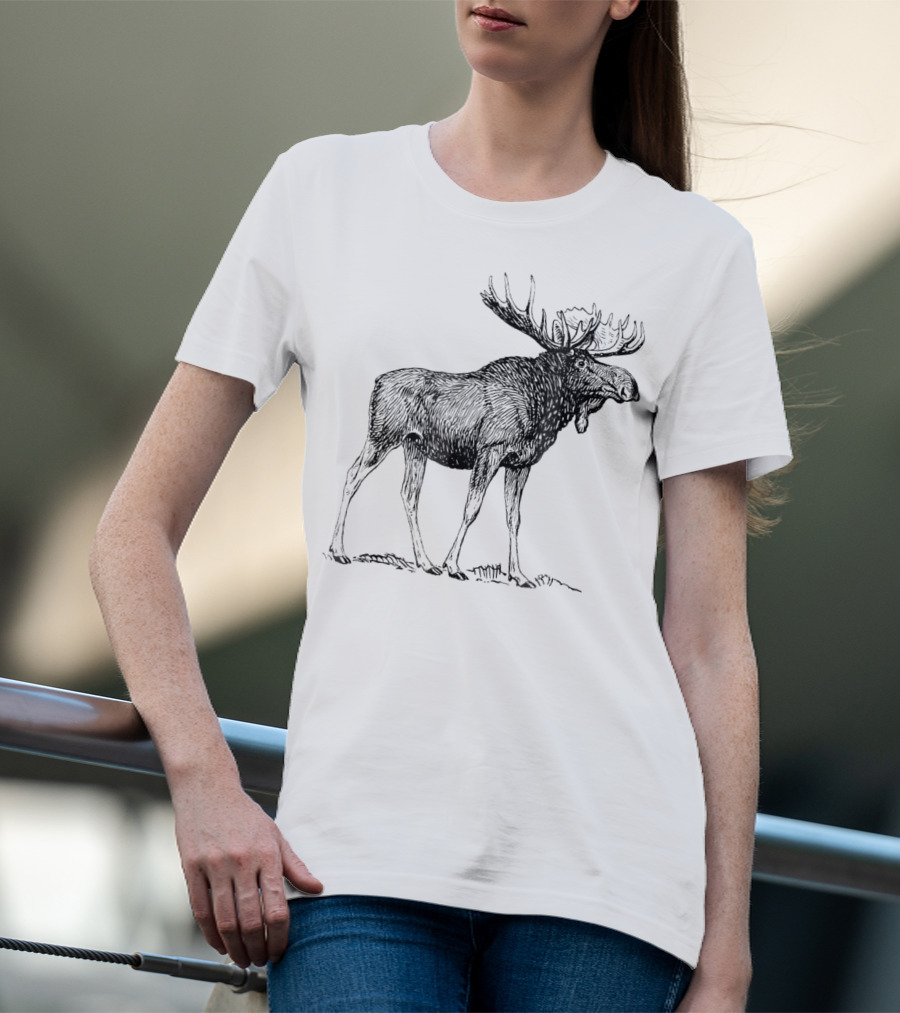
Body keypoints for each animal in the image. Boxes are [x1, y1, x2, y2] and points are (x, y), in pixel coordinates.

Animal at [327, 274, 645, 587]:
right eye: (580, 361)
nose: (629, 384)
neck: (543, 407)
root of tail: (377, 381)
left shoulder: (521, 463)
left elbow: (514, 517)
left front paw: (518, 574)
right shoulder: (490, 450)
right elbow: (472, 508)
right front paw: (453, 565)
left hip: (414, 445)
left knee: (408, 494)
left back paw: (425, 562)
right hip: (382, 436)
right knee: (352, 476)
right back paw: (338, 550)